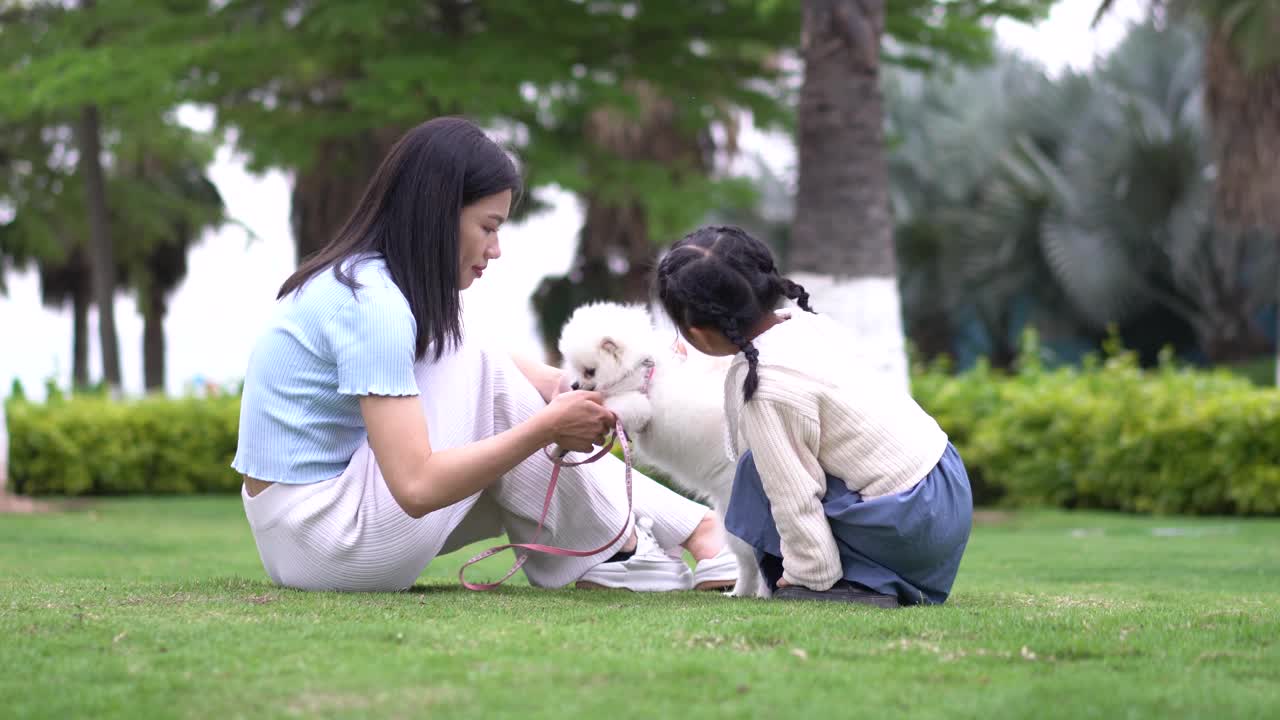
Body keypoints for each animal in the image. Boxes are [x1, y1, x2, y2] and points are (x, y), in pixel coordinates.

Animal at [558, 299, 757, 597]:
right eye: (573, 367)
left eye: (589, 370)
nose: (574, 385)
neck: (641, 372)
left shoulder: (638, 406)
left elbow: (619, 406)